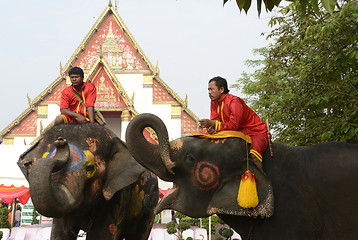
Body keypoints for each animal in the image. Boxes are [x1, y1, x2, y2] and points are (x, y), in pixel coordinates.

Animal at [17, 124, 158, 240]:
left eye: (90, 168)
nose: (61, 141)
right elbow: (60, 234)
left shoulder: (119, 196)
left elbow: (101, 236)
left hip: (150, 207)